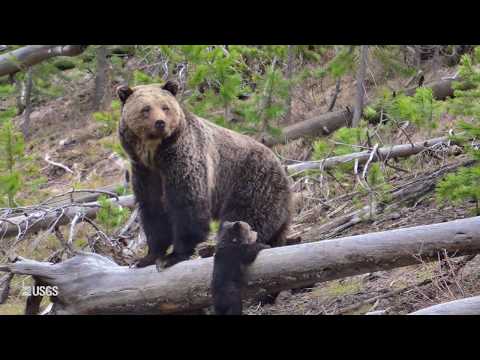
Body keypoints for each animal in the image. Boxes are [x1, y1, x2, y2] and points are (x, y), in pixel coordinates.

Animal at [117, 80, 292, 268]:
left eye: (165, 107)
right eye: (146, 108)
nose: (160, 123)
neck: (154, 154)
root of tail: (282, 169)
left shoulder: (183, 160)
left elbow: (187, 204)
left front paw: (174, 255)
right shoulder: (145, 172)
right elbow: (153, 210)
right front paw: (147, 257)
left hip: (252, 183)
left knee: (245, 218)